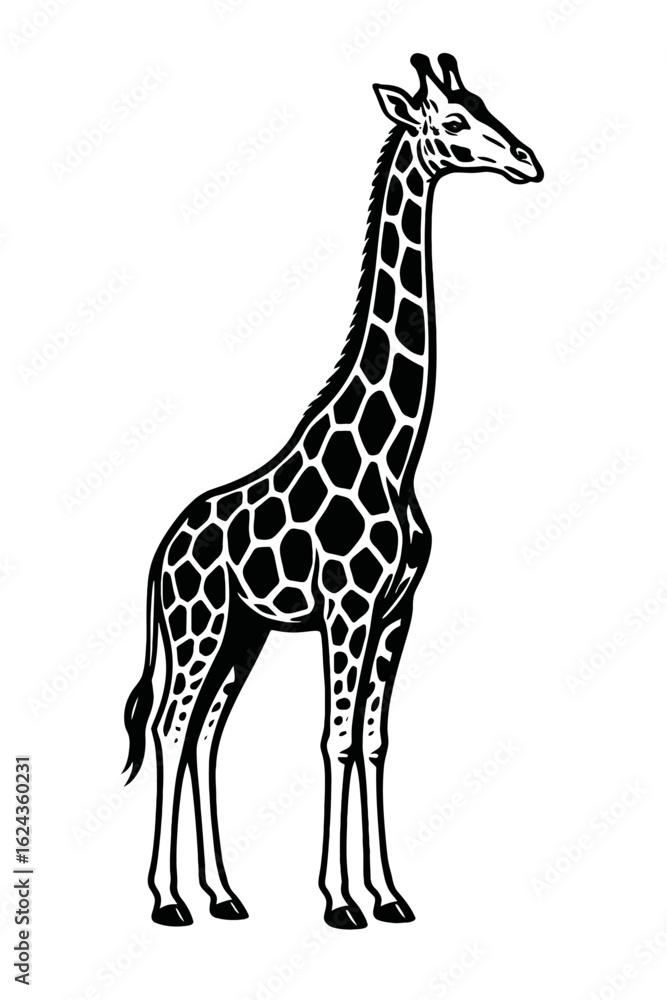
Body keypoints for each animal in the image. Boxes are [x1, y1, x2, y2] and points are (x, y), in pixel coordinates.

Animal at [124, 52, 543, 930]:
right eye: (454, 123)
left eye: (485, 104)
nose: (527, 160)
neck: (393, 452)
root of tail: (163, 547)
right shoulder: (345, 610)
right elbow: (335, 738)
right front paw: (338, 901)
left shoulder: (395, 610)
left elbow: (375, 742)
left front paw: (388, 896)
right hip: (197, 626)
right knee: (174, 730)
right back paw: (168, 900)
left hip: (242, 634)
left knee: (206, 735)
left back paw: (223, 895)